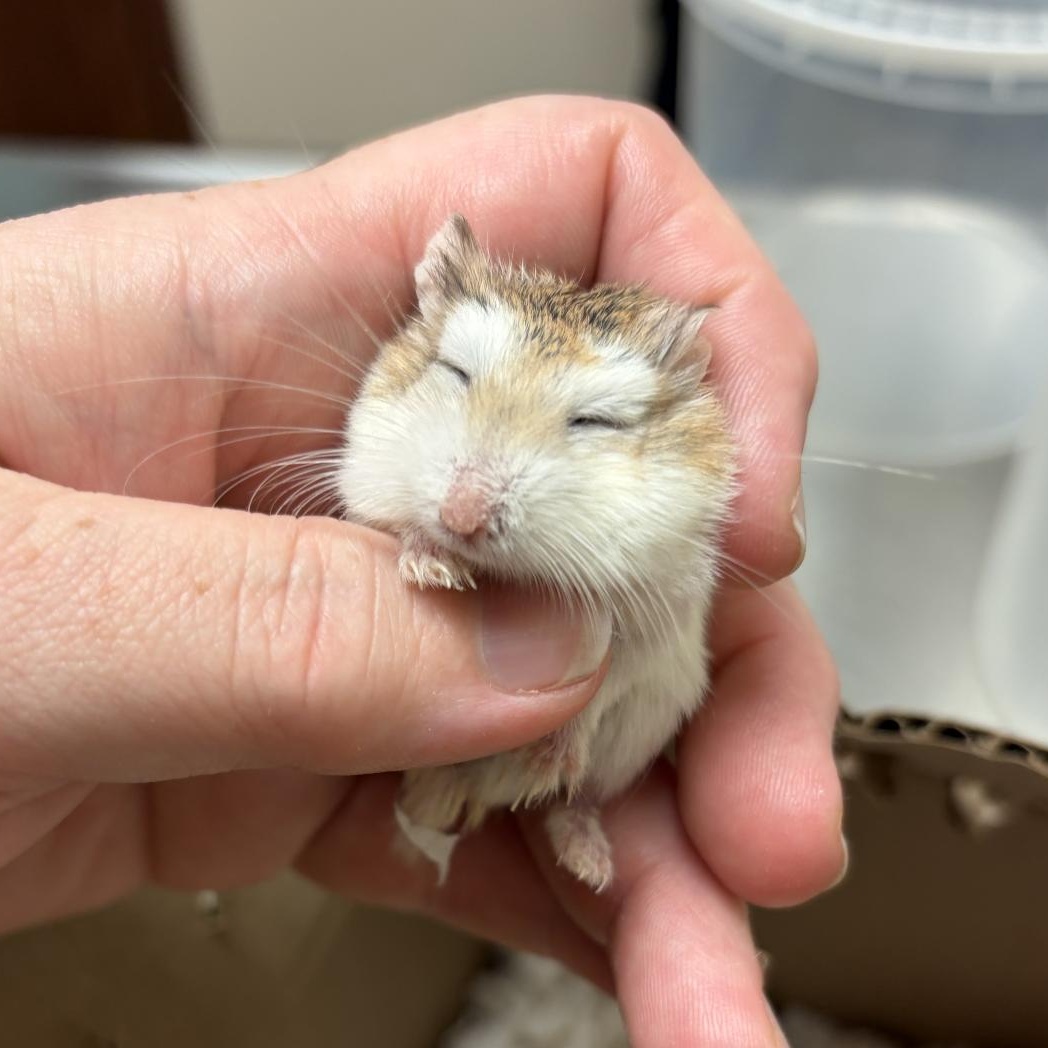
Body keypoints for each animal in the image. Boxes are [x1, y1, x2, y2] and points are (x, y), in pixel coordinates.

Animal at [337, 214, 735, 891]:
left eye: (594, 422)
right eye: (456, 372)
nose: (461, 519)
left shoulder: (658, 614)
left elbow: (601, 688)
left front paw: (548, 761)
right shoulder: (363, 482)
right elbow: (388, 525)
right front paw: (432, 566)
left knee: (570, 804)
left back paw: (586, 861)